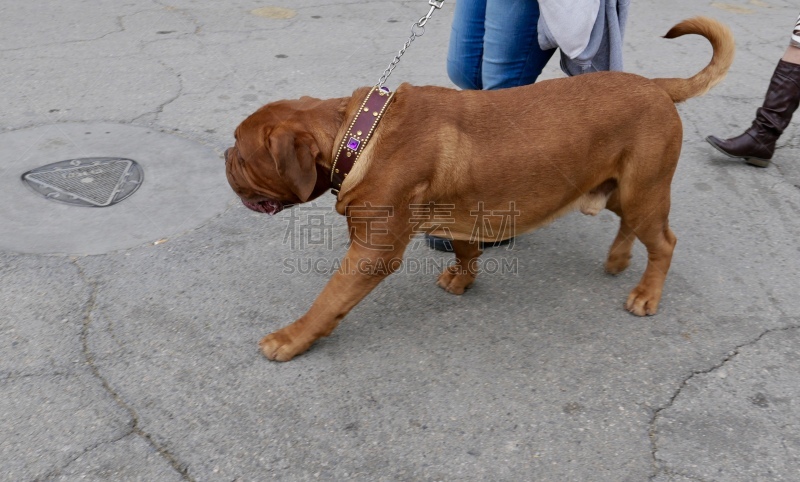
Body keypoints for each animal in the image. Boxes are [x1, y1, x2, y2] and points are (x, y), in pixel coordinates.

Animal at [227, 16, 736, 362]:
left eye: (242, 153)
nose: (224, 158)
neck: (356, 136)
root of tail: (656, 86)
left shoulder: (371, 252)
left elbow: (328, 300)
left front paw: (291, 338)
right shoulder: (465, 211)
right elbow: (466, 248)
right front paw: (462, 277)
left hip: (643, 191)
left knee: (665, 242)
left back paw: (647, 293)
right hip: (622, 190)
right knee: (632, 227)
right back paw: (618, 258)